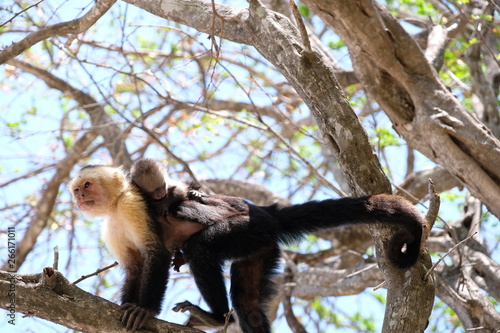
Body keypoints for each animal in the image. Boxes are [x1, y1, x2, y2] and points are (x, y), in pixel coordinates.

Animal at [69, 163, 207, 330]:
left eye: (87, 185)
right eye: (76, 190)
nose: (80, 196)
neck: (116, 205)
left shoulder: (131, 204)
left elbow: (157, 252)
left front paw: (145, 309)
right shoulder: (111, 227)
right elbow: (135, 267)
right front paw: (127, 305)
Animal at [131, 159, 428, 332]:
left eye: (159, 190)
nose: (160, 194)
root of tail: (265, 213)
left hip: (245, 229)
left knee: (201, 247)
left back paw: (215, 316)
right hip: (260, 246)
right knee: (248, 306)